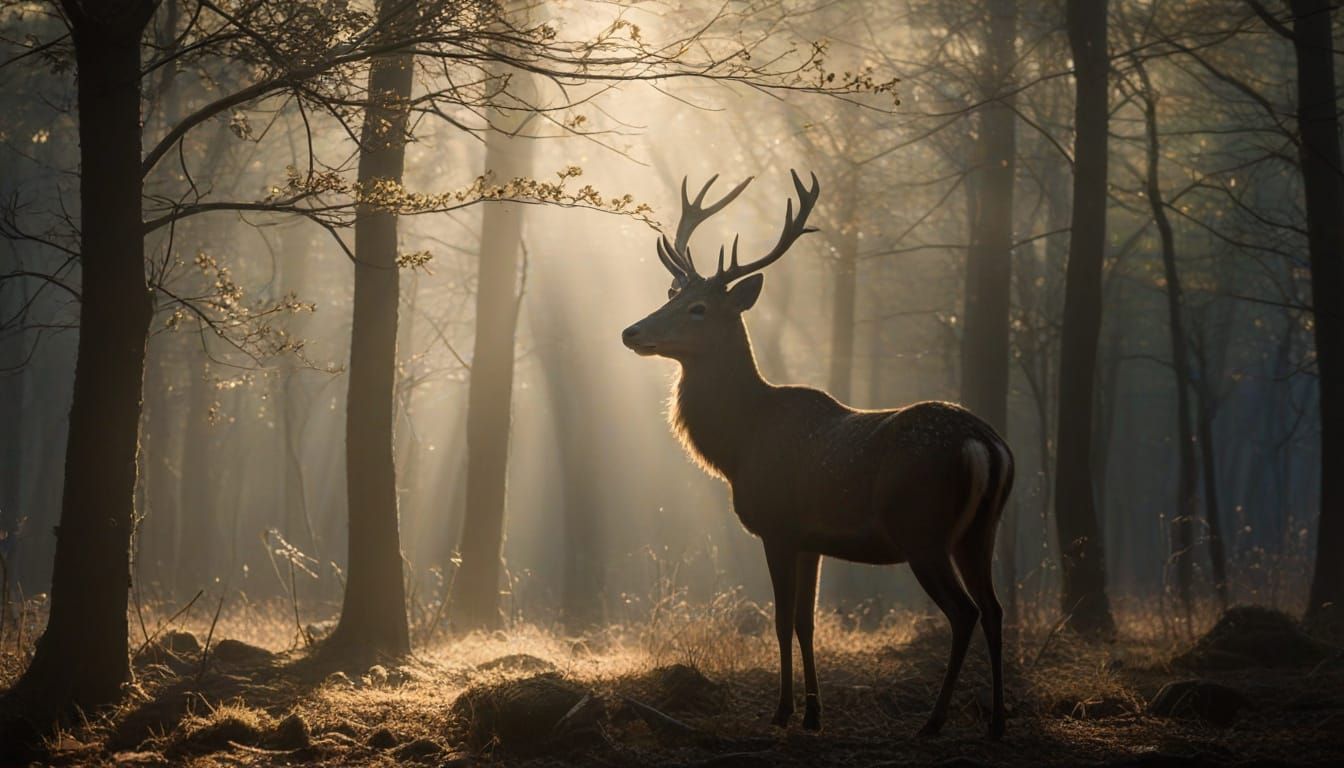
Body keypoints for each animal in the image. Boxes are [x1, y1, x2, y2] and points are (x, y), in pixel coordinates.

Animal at [621, 170, 1014, 740]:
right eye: (671, 294)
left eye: (698, 309)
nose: (631, 331)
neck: (740, 444)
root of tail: (985, 444)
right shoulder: (813, 540)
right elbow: (807, 623)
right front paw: (812, 713)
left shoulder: (778, 525)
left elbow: (783, 620)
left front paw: (783, 711)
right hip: (980, 531)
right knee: (996, 608)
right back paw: (998, 722)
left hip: (923, 530)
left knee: (965, 613)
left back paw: (934, 721)